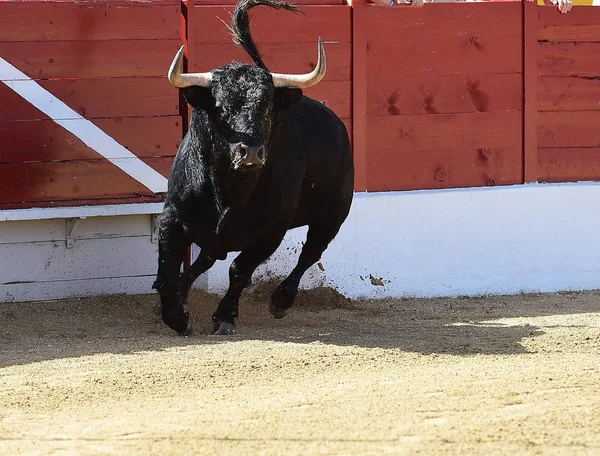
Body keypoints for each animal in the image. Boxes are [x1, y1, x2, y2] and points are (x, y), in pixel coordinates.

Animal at [152, 0, 354, 334]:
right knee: (207, 258)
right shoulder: (173, 217)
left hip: (333, 214)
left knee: (310, 253)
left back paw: (281, 301)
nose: (251, 152)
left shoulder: (271, 232)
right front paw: (176, 316)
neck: (229, 189)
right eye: (219, 107)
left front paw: (223, 317)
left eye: (268, 107)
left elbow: (239, 271)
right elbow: (168, 269)